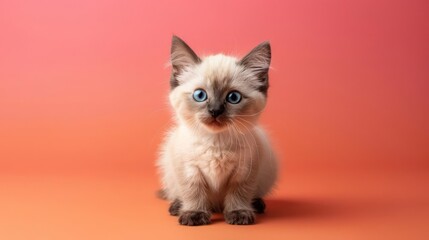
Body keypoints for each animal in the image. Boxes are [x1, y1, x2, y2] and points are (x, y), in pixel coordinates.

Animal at [157, 35, 278, 225]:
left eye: (233, 97)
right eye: (200, 95)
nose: (215, 111)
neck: (215, 142)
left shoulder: (244, 172)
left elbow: (239, 193)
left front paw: (238, 213)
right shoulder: (188, 170)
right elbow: (193, 192)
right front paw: (194, 214)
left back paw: (257, 205)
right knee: (175, 193)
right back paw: (176, 206)